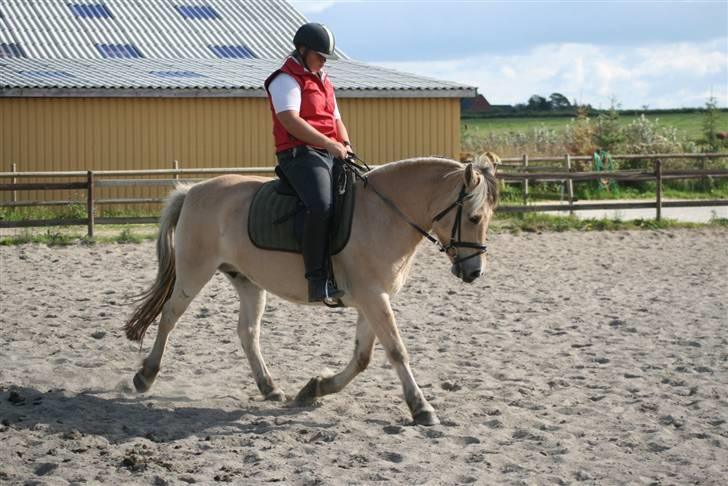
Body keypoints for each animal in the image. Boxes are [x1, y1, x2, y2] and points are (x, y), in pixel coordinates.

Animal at [126, 157, 500, 426]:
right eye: (473, 217)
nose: (474, 272)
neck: (385, 214)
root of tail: (192, 191)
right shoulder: (373, 297)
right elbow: (396, 351)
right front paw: (421, 408)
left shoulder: (373, 299)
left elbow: (363, 358)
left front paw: (315, 388)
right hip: (194, 272)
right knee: (169, 317)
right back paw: (145, 376)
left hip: (248, 282)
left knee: (248, 333)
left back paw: (270, 388)